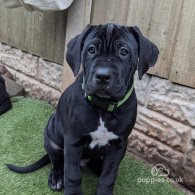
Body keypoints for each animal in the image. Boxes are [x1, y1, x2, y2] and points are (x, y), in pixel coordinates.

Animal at [6, 24, 159, 195]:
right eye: (91, 50)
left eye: (124, 51)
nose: (103, 75)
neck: (103, 107)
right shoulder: (73, 141)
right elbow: (72, 174)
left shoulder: (119, 145)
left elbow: (109, 175)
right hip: (52, 136)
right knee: (57, 161)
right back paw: (57, 177)